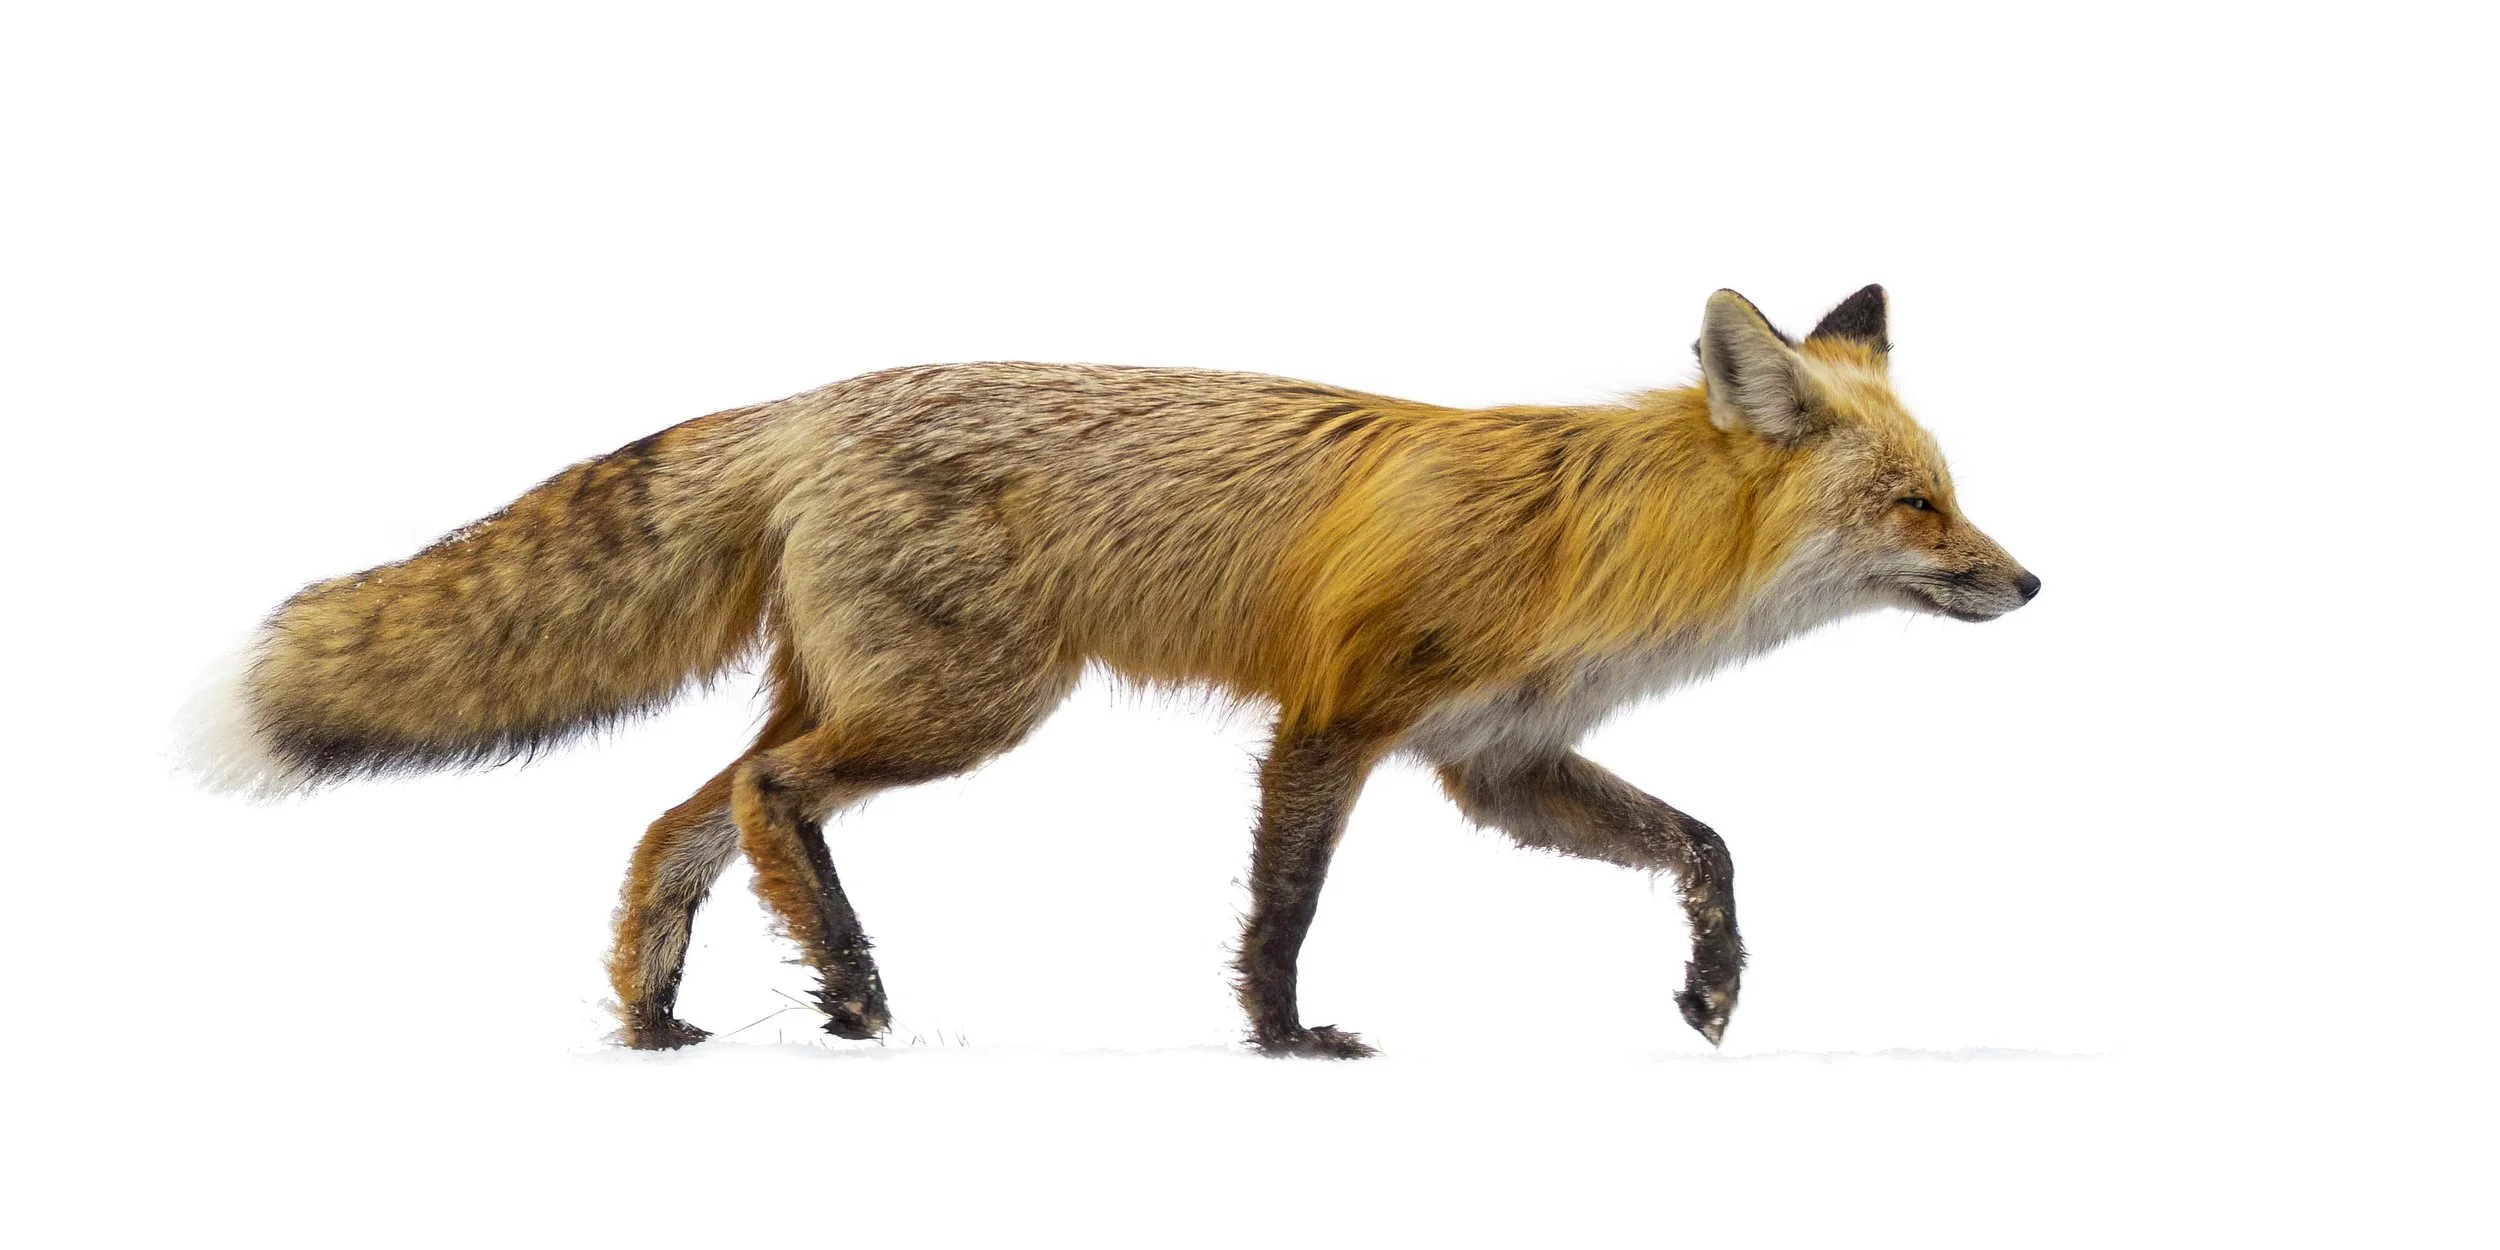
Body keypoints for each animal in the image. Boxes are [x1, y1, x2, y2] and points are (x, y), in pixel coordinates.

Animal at [181, 285, 2037, 1057]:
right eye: (1919, 503)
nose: (2030, 580)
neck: (1595, 541)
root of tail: (805, 402)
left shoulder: (1499, 763)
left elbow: (1708, 846)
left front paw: (1714, 988)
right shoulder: (1339, 718)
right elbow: (1281, 909)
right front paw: (1284, 1041)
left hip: (878, 695)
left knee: (676, 823)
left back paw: (654, 1015)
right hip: (964, 707)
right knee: (766, 799)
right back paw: (848, 986)